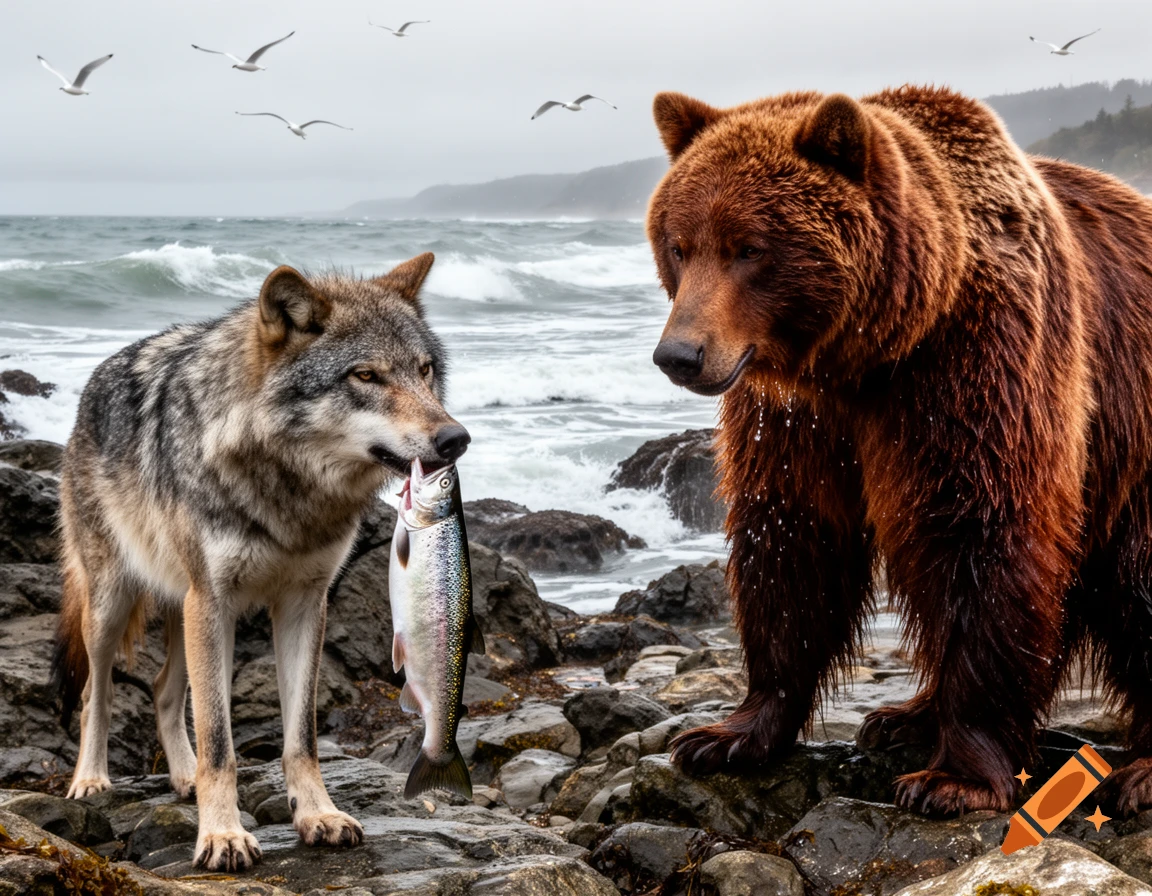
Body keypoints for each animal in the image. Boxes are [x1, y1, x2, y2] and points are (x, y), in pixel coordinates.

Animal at [53, 253, 470, 870]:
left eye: (424, 371)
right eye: (366, 376)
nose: (455, 438)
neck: (289, 489)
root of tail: (91, 386)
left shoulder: (303, 603)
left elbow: (301, 738)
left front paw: (318, 815)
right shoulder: (214, 600)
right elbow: (220, 744)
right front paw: (222, 835)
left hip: (186, 612)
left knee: (163, 691)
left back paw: (183, 778)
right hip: (116, 606)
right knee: (94, 694)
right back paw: (90, 779)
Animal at [645, 84, 1152, 816]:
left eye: (750, 247)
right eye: (680, 246)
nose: (680, 354)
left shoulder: (977, 367)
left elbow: (985, 531)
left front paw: (955, 777)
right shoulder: (799, 419)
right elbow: (792, 542)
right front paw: (728, 734)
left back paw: (1140, 770)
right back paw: (904, 717)